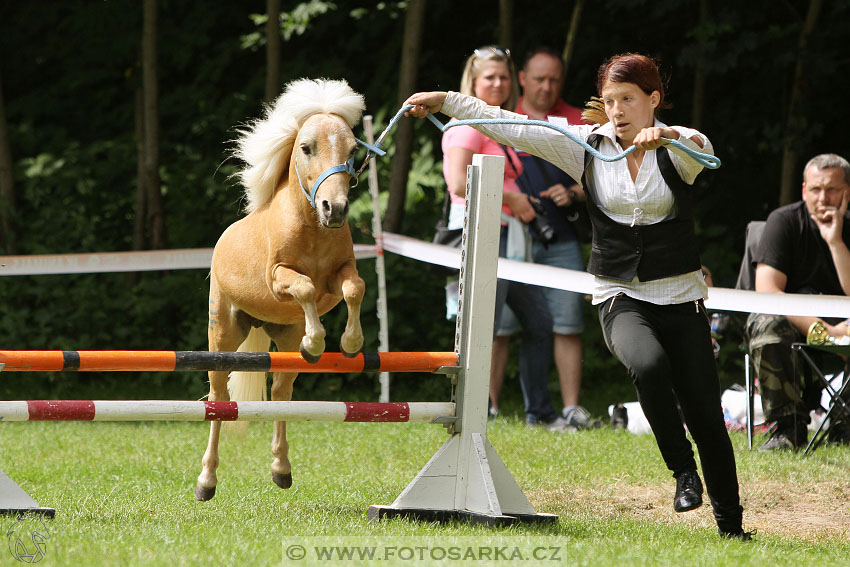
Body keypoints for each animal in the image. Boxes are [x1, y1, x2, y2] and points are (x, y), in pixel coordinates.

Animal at [195, 80, 368, 502]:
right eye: (306, 147)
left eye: (352, 151)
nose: (335, 209)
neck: (312, 228)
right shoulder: (278, 278)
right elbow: (303, 286)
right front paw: (318, 340)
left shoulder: (340, 275)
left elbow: (354, 288)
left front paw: (348, 343)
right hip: (222, 338)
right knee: (219, 400)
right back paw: (206, 481)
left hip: (283, 343)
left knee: (281, 393)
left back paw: (281, 469)